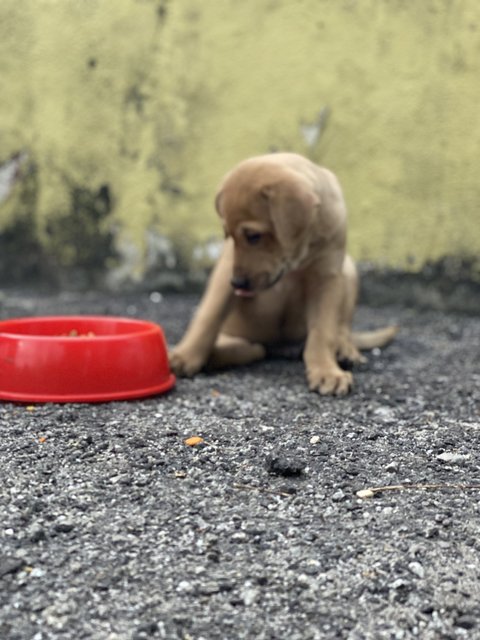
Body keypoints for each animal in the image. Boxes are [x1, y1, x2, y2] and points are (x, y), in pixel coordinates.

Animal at [170, 155, 398, 396]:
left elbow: (323, 332)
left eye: (253, 236)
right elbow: (208, 316)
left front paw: (326, 371)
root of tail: (279, 347)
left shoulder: (327, 277)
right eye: (229, 236)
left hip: (349, 268)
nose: (238, 283)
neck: (295, 260)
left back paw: (345, 350)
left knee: (342, 326)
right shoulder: (225, 272)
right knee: (252, 348)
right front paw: (184, 356)